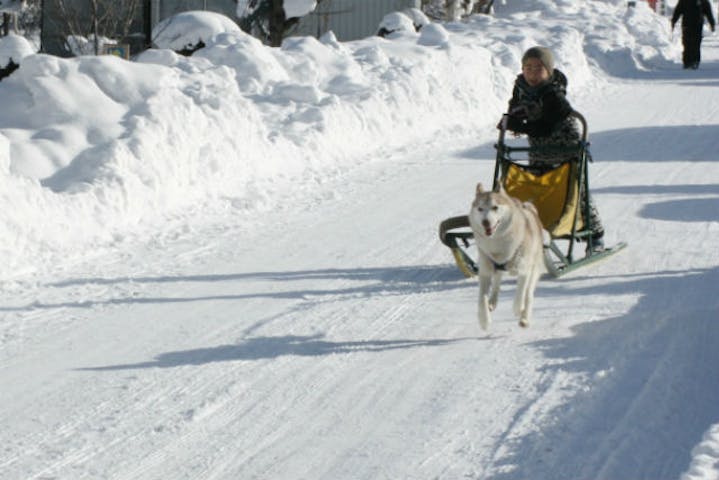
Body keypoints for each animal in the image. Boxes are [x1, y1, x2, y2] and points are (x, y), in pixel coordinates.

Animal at [470, 184, 544, 330]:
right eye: (480, 209)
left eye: (495, 207)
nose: (485, 222)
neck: (497, 244)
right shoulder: (485, 272)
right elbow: (482, 298)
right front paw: (484, 320)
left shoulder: (524, 271)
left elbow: (520, 294)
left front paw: (518, 310)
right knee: (497, 283)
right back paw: (492, 302)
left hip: (534, 269)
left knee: (528, 294)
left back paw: (524, 318)